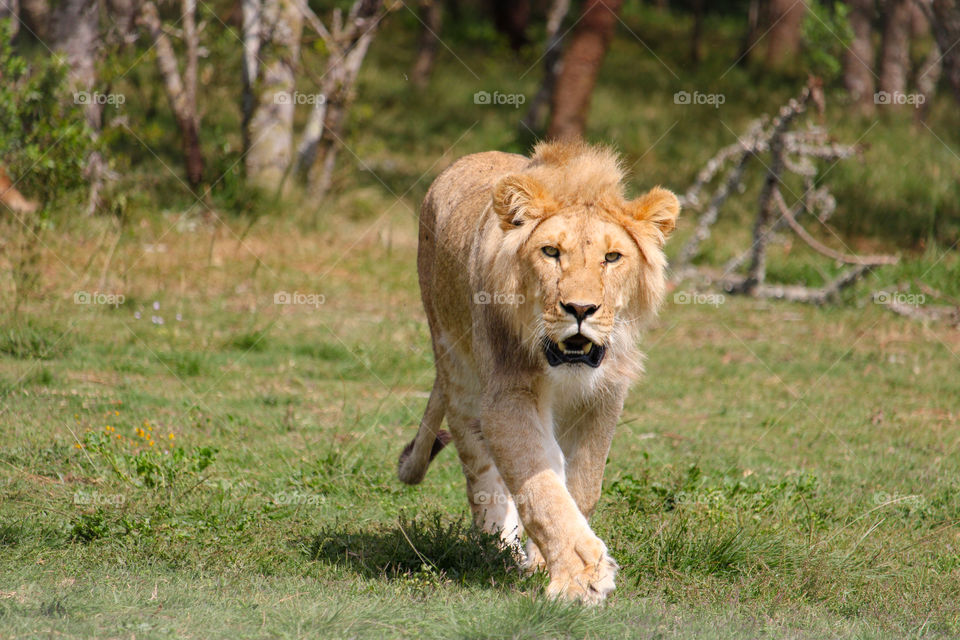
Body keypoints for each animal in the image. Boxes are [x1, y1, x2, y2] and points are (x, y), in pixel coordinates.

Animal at [397, 139, 679, 604]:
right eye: (551, 252)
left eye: (612, 257)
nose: (580, 309)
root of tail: (468, 158)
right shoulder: (508, 393)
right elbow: (540, 486)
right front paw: (580, 576)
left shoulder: (603, 396)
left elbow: (580, 485)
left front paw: (547, 561)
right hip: (453, 362)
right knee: (478, 465)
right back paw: (497, 542)